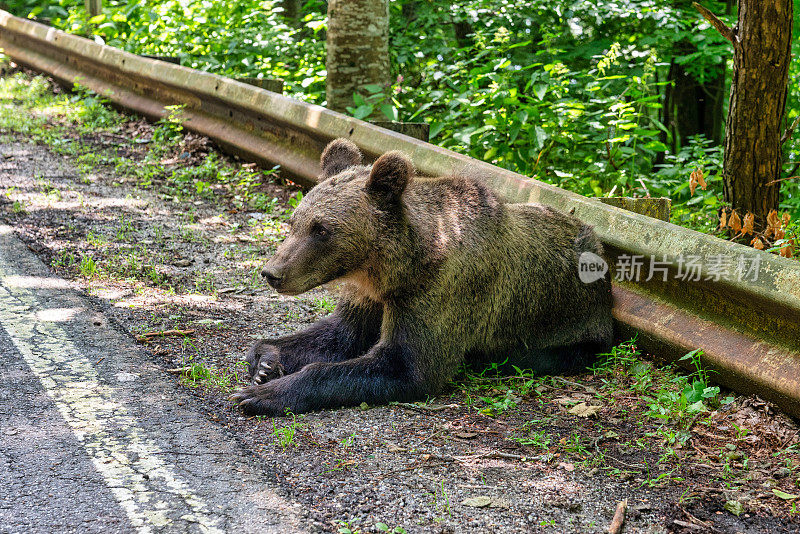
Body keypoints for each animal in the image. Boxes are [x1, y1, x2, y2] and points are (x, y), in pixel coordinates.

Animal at [231, 140, 612, 416]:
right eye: (295, 221)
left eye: (321, 229)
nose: (272, 273)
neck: (393, 268)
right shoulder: (368, 294)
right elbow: (338, 334)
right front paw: (265, 362)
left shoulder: (439, 291)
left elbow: (406, 366)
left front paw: (259, 394)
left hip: (568, 329)